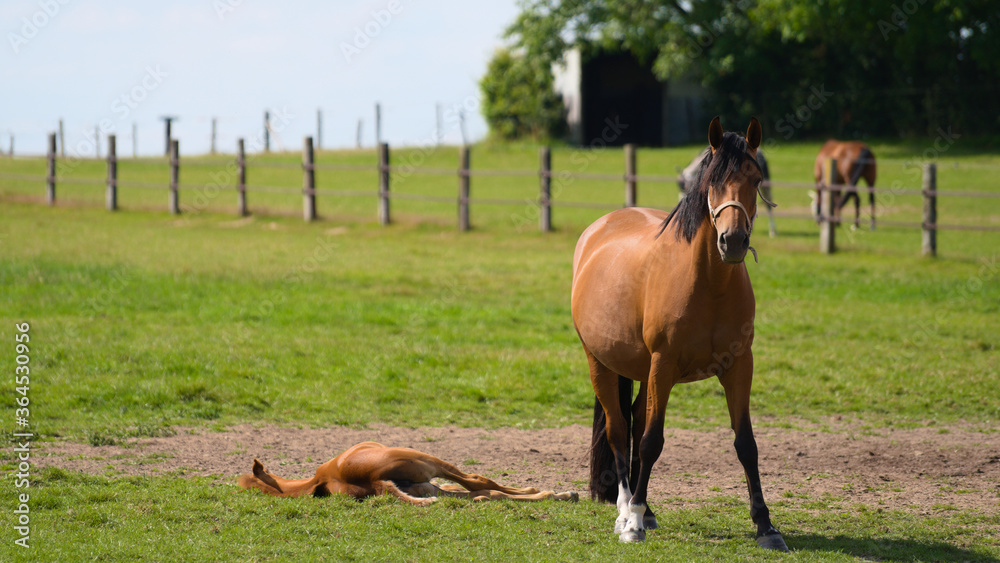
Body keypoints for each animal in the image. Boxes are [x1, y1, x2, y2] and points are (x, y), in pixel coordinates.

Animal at [571, 117, 786, 550]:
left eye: (755, 179)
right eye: (712, 182)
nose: (732, 241)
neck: (709, 284)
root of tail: (598, 229)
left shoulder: (740, 367)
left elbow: (746, 444)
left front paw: (766, 526)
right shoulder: (664, 364)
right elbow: (652, 440)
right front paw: (633, 522)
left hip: (642, 371)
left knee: (634, 423)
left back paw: (647, 509)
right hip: (601, 363)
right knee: (619, 431)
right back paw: (626, 509)